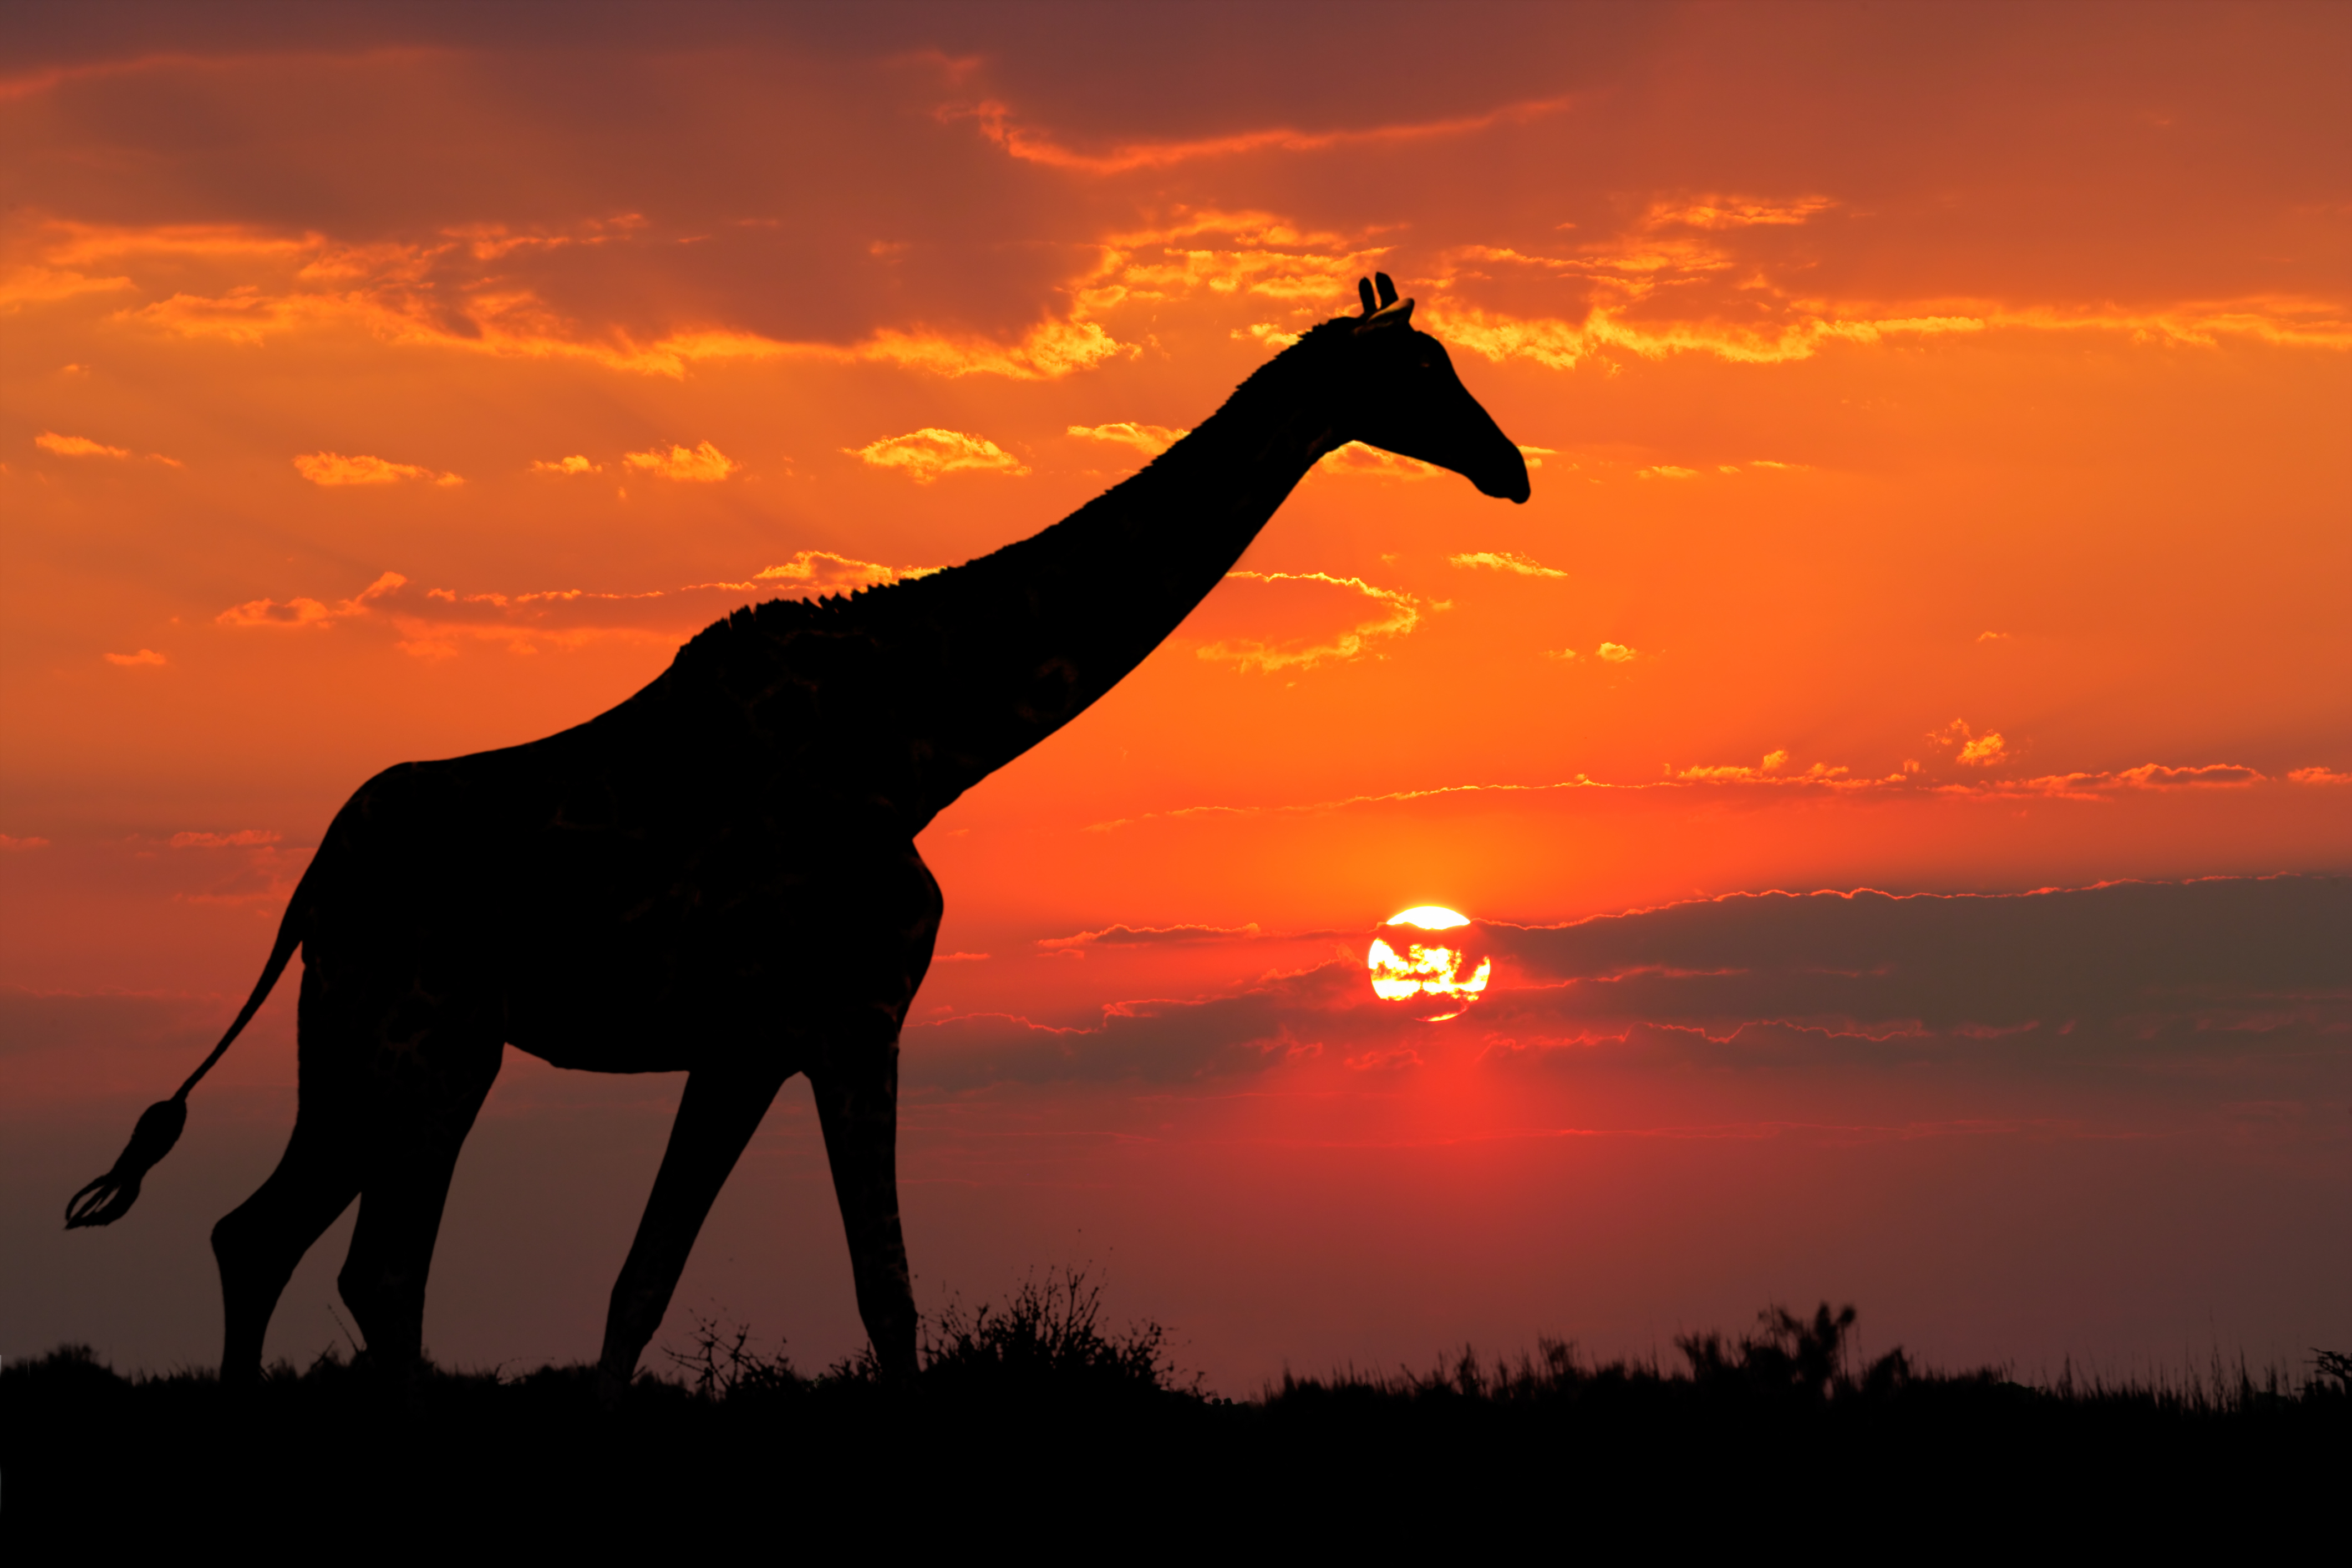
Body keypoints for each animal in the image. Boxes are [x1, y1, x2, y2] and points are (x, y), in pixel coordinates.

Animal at [66, 274, 1531, 1384]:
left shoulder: (751, 1041)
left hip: (361, 1033)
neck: (922, 745)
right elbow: (883, 1294)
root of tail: (312, 879)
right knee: (370, 1265)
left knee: (261, 1235)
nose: (1510, 468)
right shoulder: (851, 1012)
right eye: (1421, 373)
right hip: (431, 1036)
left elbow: (641, 1286)